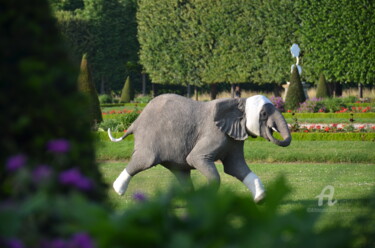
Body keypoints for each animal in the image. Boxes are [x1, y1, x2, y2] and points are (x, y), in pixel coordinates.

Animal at [107, 94, 292, 202]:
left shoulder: (234, 138)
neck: (239, 102)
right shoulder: (214, 133)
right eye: (263, 114)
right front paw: (208, 198)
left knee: (180, 171)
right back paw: (117, 190)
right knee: (144, 160)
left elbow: (235, 167)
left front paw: (261, 199)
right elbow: (196, 158)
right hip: (149, 137)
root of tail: (135, 122)